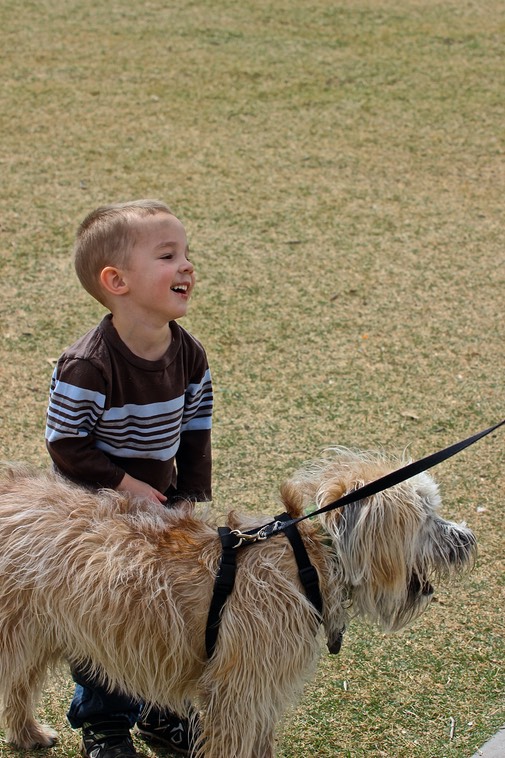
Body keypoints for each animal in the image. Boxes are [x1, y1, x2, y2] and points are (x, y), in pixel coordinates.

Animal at [0, 454, 474, 756]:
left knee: (18, 684)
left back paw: (27, 733)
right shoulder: (239, 695)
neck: (311, 559)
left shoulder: (257, 692)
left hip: (37, 629)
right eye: (428, 517)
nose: (468, 539)